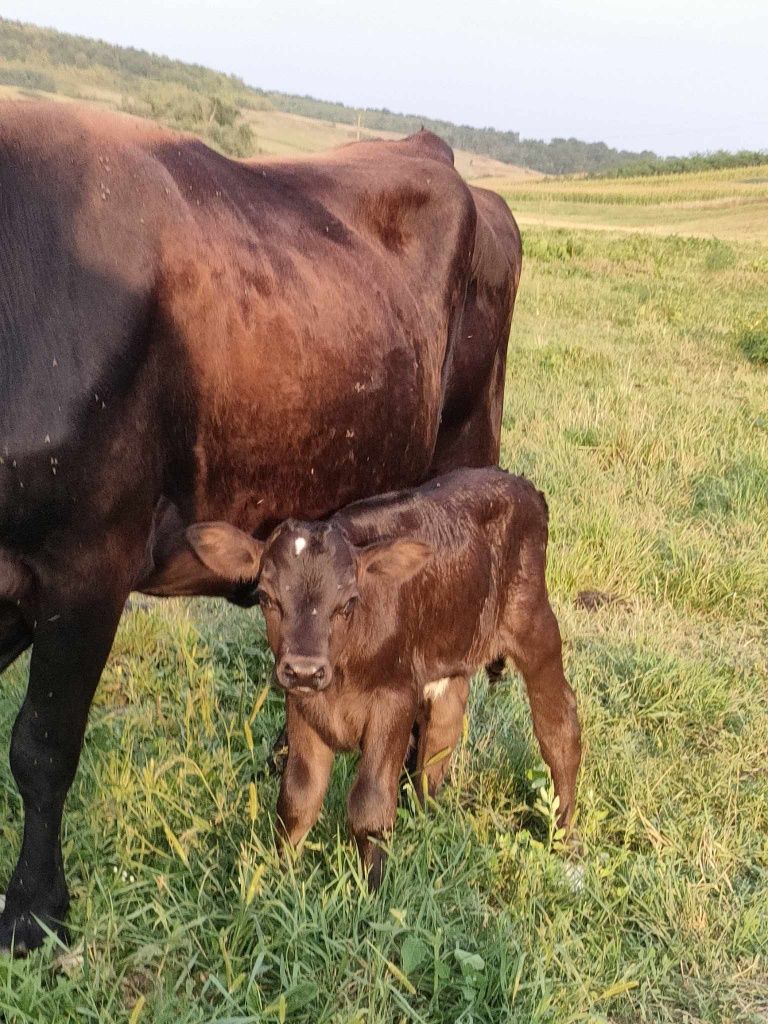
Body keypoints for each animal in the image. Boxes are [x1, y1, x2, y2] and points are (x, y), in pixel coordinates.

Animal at [185, 466, 581, 888]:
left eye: (347, 603)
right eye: (265, 597)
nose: (305, 668)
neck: (339, 679)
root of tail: (520, 484)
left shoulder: (394, 699)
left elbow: (369, 805)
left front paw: (371, 888)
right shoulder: (301, 703)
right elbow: (297, 799)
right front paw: (280, 879)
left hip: (534, 624)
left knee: (559, 726)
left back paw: (561, 837)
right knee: (443, 727)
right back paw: (424, 819)